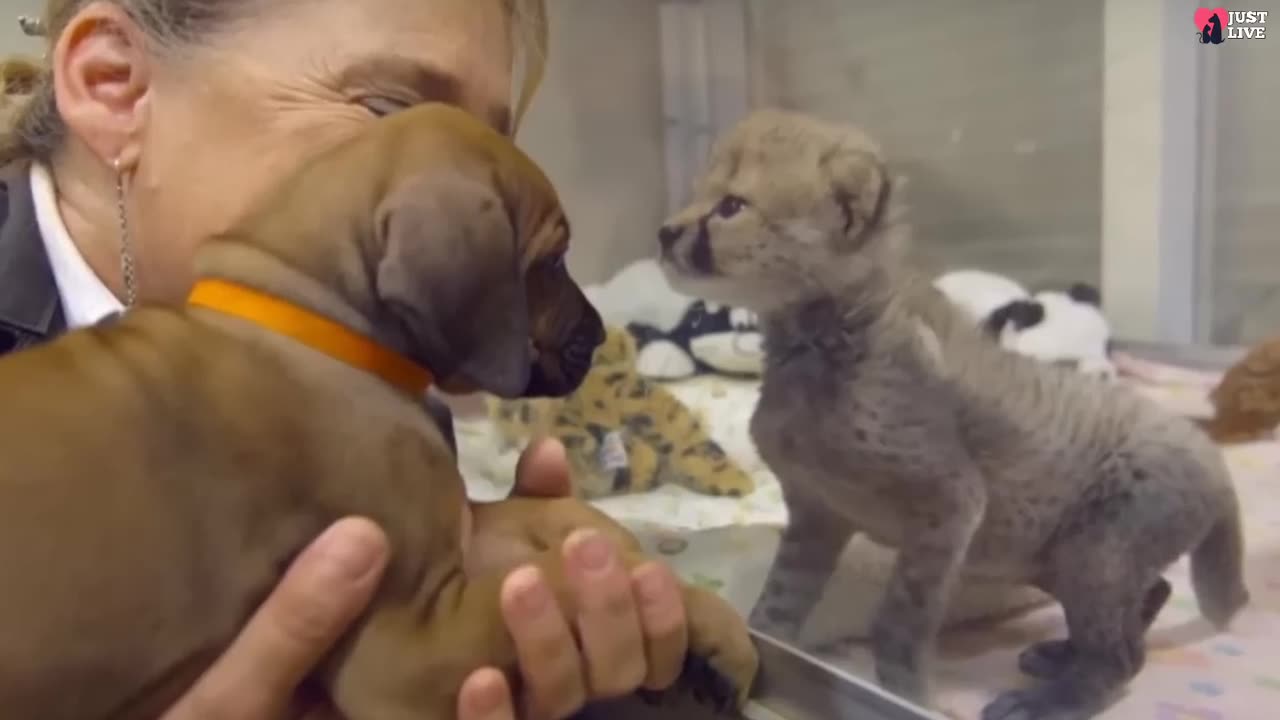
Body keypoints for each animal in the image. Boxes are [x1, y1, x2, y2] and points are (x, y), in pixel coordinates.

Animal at [0, 103, 752, 717]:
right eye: (552, 258)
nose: (599, 337)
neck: (315, 322)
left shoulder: (452, 535)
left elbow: (562, 521)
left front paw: (709, 624)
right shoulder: (402, 648)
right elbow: (553, 576)